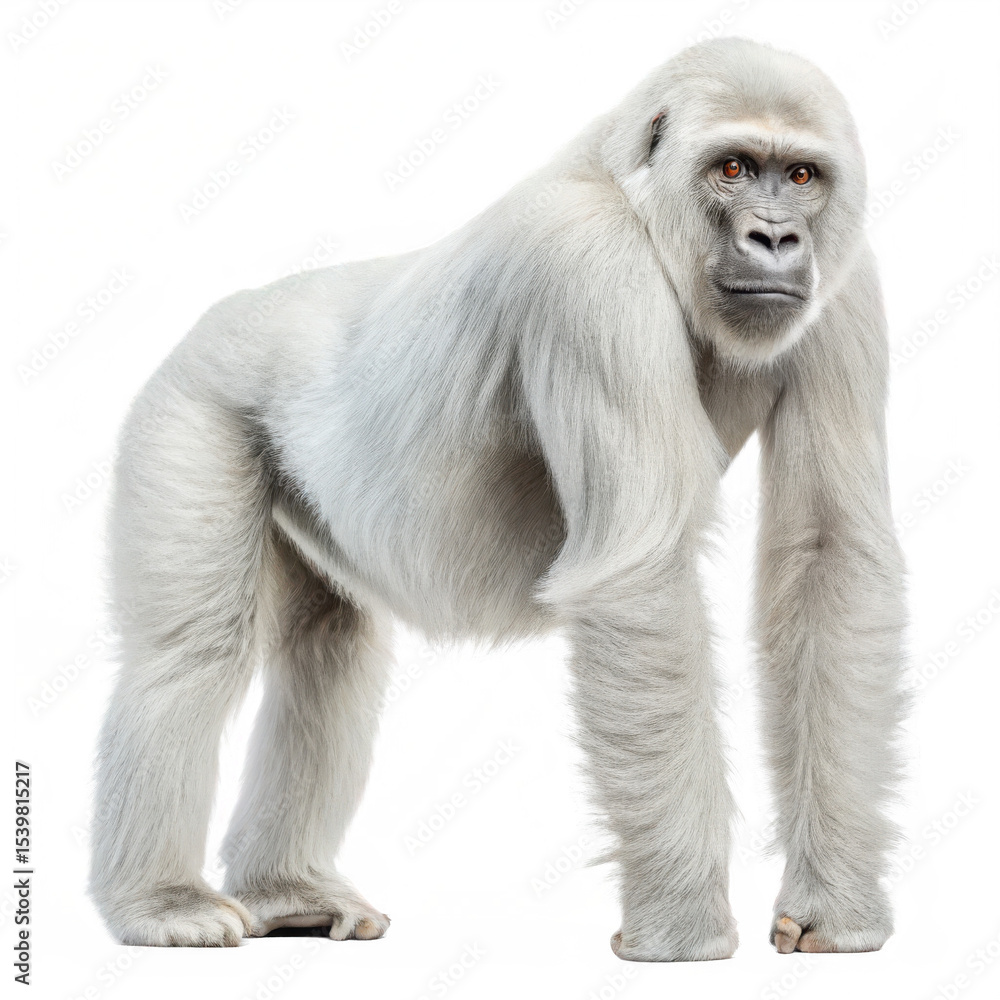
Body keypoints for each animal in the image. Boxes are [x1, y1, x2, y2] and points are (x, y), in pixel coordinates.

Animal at [90, 37, 907, 961]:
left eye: (801, 176)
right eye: (733, 167)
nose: (775, 237)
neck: (627, 187)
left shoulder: (848, 276)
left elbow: (829, 557)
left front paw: (837, 904)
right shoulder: (586, 266)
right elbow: (640, 580)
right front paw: (682, 921)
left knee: (328, 656)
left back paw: (285, 889)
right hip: (190, 395)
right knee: (191, 653)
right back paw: (160, 901)